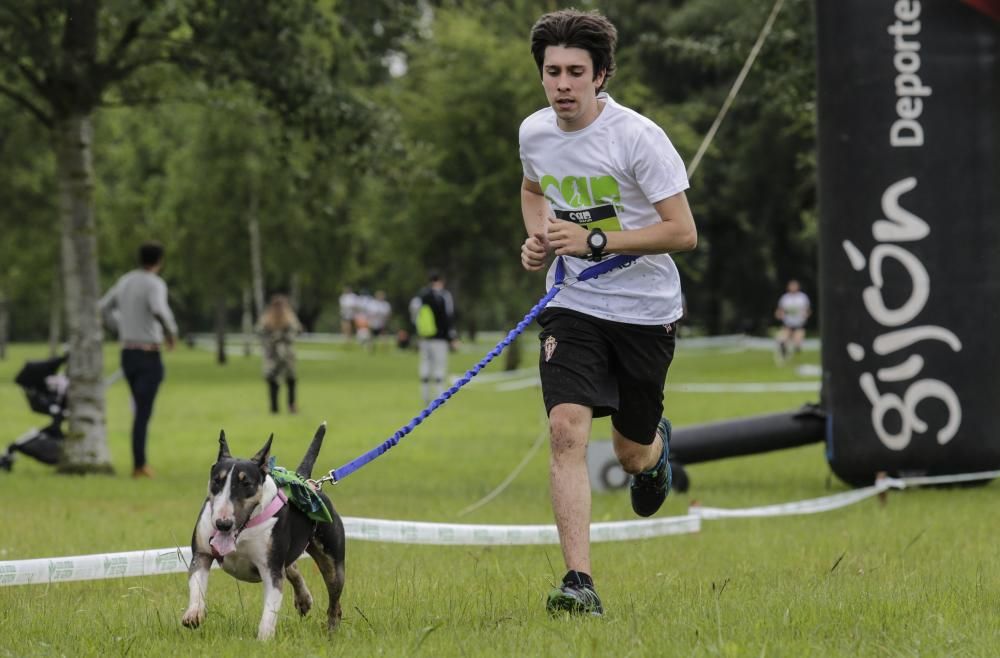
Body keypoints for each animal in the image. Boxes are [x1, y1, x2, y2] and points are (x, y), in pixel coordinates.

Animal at [182, 422, 346, 640]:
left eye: (246, 484)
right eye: (217, 480)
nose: (222, 524)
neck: (242, 532)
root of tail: (308, 482)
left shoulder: (271, 568)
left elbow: (271, 605)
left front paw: (264, 638)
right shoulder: (201, 554)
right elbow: (197, 583)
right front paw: (194, 614)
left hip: (333, 562)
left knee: (334, 598)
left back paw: (332, 632)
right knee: (292, 567)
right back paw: (304, 600)